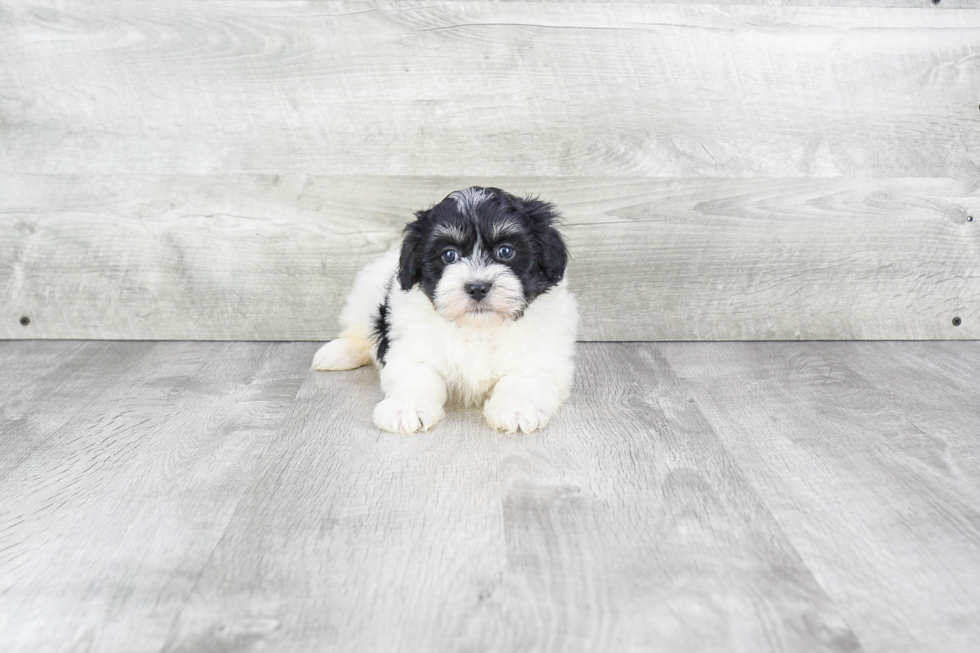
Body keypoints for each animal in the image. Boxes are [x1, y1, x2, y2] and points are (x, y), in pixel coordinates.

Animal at [312, 187, 576, 432]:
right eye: (449, 255)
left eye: (505, 251)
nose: (477, 287)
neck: (478, 328)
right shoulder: (411, 350)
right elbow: (419, 374)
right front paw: (405, 408)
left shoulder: (542, 355)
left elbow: (524, 378)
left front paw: (517, 408)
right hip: (365, 294)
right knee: (359, 332)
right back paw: (337, 353)